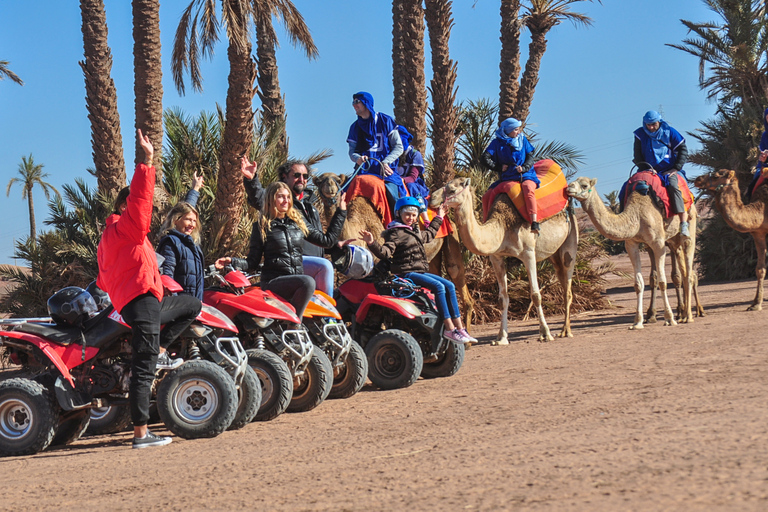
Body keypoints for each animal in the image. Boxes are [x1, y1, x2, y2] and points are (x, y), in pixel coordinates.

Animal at [432, 176, 576, 344]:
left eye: (452, 190)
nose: (432, 198)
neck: (502, 229)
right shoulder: (496, 257)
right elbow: (503, 299)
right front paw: (501, 337)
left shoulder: (528, 253)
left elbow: (535, 294)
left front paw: (546, 333)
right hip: (554, 253)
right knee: (562, 279)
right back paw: (564, 329)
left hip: (570, 239)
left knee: (568, 282)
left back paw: (565, 331)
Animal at [568, 176, 700, 328]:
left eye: (584, 185)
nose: (568, 188)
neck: (637, 215)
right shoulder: (631, 244)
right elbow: (638, 284)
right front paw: (637, 322)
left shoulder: (658, 243)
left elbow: (662, 281)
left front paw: (669, 319)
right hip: (673, 238)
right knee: (683, 270)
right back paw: (683, 315)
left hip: (691, 220)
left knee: (689, 264)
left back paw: (689, 316)